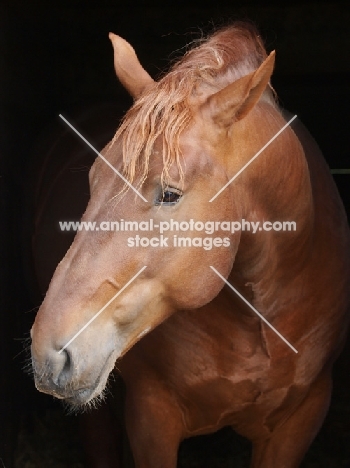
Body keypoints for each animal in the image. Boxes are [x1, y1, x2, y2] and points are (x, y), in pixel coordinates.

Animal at [30, 23, 350, 466]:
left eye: (169, 194)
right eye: (93, 180)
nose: (49, 354)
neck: (259, 316)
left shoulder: (301, 420)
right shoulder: (152, 418)